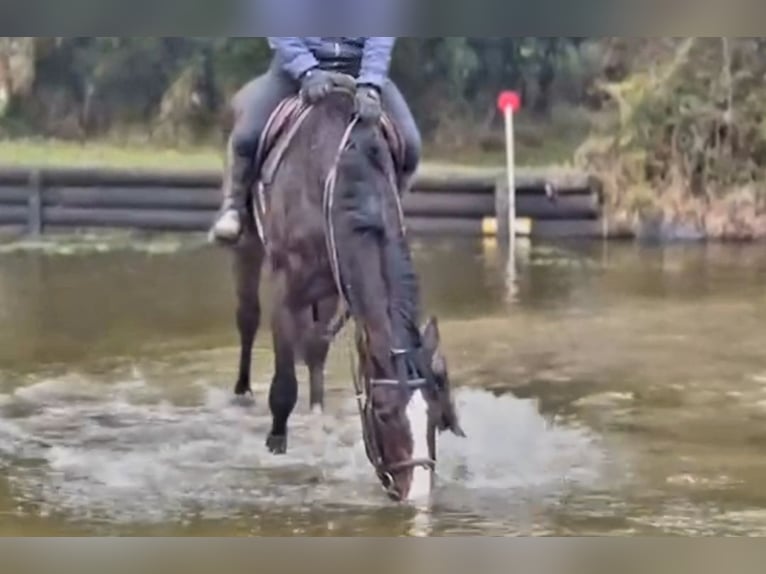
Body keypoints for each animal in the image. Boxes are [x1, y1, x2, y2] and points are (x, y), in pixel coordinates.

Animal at [227, 73, 465, 502]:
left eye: (437, 414)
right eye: (383, 412)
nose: (417, 494)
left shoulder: (342, 285)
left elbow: (316, 348)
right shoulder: (286, 289)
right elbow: (284, 385)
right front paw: (276, 446)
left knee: (314, 348)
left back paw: (317, 413)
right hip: (248, 247)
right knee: (247, 317)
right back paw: (242, 394)